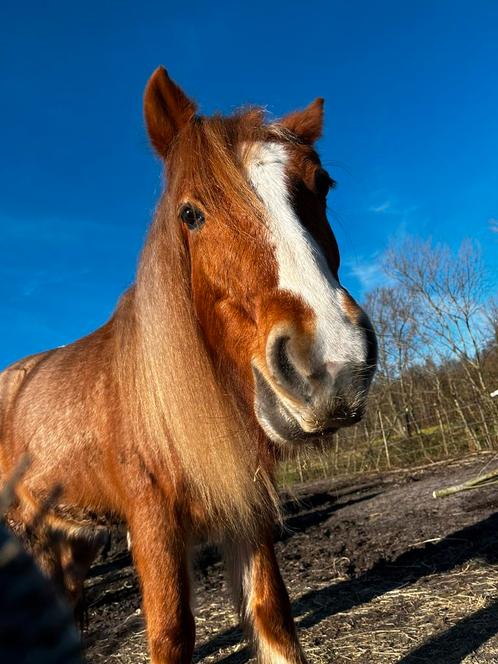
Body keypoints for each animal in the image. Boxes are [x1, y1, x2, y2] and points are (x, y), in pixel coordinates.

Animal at [0, 68, 378, 664]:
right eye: (190, 214)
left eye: (321, 185)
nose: (330, 362)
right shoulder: (152, 524)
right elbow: (171, 633)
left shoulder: (247, 512)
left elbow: (273, 617)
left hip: (73, 534)